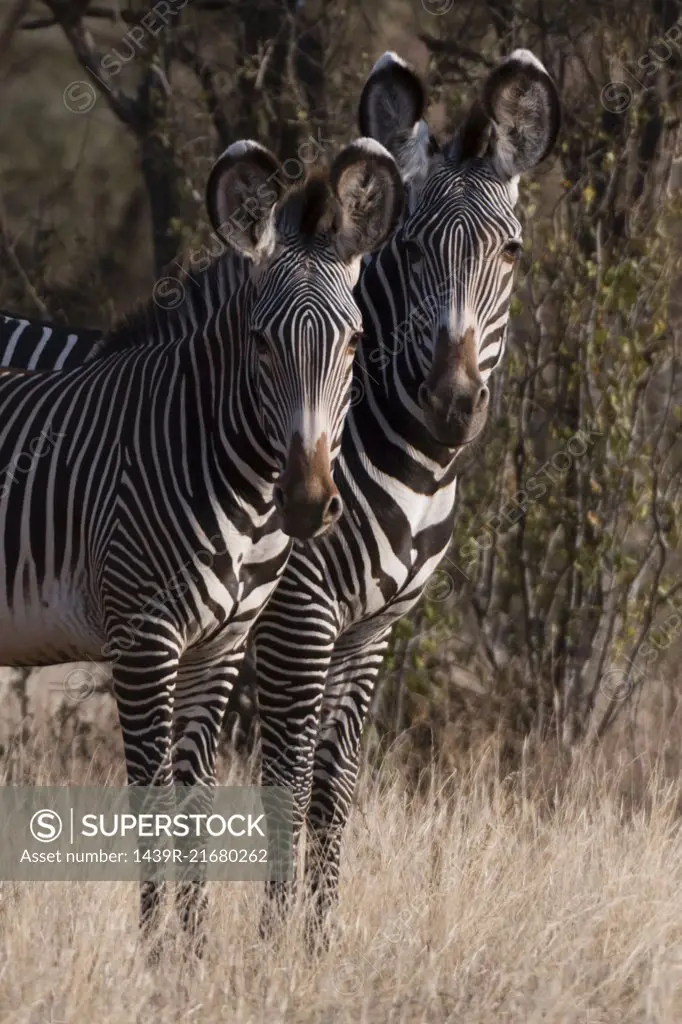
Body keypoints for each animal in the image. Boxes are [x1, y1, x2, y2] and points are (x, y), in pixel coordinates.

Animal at [0, 134, 403, 942]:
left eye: (354, 343)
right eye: (260, 344)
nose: (308, 502)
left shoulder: (217, 647)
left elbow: (197, 801)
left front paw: (188, 950)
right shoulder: (143, 638)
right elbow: (153, 801)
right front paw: (156, 950)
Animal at [246, 51, 561, 937]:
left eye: (512, 252)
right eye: (414, 249)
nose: (452, 401)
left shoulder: (370, 631)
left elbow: (335, 793)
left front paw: (316, 942)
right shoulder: (299, 620)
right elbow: (289, 786)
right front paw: (271, 944)